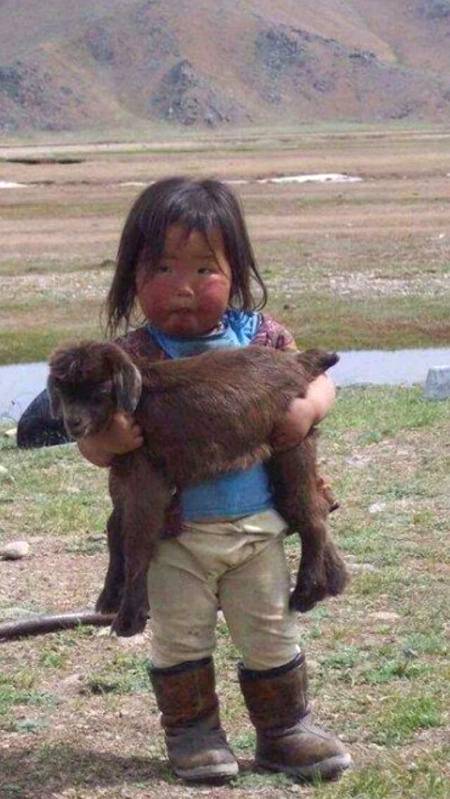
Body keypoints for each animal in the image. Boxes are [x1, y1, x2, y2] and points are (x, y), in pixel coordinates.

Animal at [48, 342, 348, 636]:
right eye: (62, 391)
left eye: (100, 390)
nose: (73, 423)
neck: (137, 406)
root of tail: (298, 362)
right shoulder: (123, 473)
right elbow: (114, 528)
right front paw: (109, 597)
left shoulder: (145, 475)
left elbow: (136, 538)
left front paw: (128, 619)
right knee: (314, 504)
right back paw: (335, 579)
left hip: (293, 438)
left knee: (310, 513)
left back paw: (306, 592)